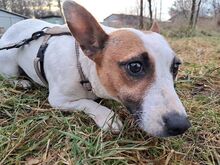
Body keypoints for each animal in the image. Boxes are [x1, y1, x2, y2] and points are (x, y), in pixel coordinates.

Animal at [0, 0, 191, 137]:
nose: (181, 126)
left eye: (176, 67)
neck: (83, 69)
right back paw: (21, 82)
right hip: (9, 65)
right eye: (135, 66)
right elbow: (87, 103)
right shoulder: (58, 100)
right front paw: (108, 117)